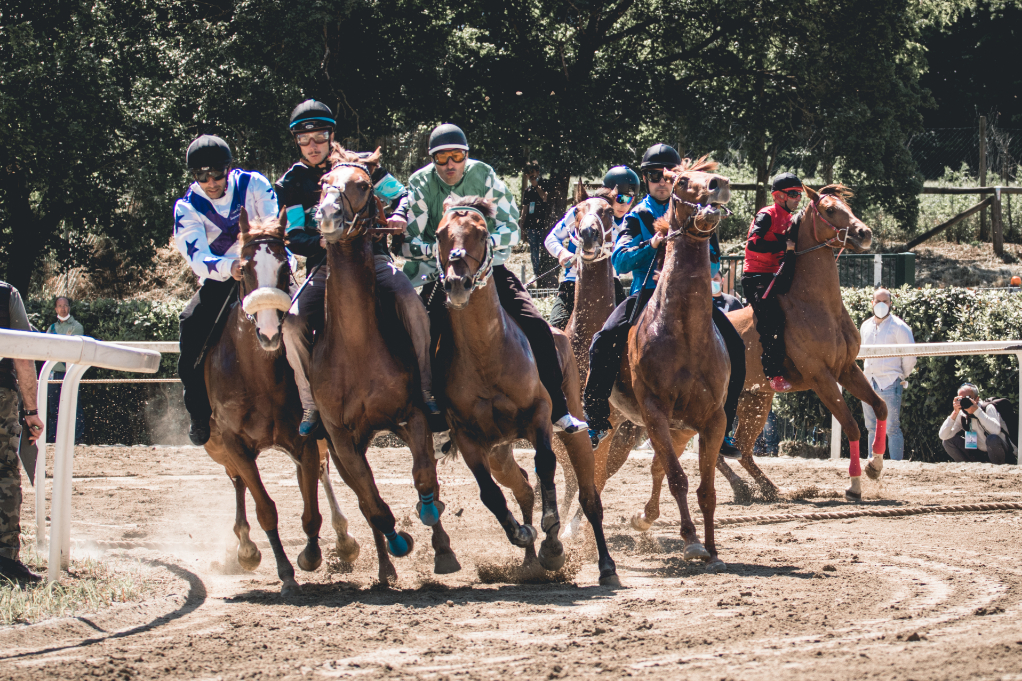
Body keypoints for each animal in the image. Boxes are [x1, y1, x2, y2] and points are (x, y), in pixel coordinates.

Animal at [202, 209, 359, 593]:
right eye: (244, 268)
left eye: (285, 268)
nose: (271, 332)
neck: (260, 377)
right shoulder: (234, 443)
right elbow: (265, 508)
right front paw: (283, 570)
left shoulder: (304, 440)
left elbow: (311, 511)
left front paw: (310, 556)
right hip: (218, 447)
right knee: (237, 482)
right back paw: (245, 546)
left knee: (321, 472)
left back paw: (344, 539)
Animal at [308, 150, 457, 584]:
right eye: (323, 181)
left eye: (362, 184)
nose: (327, 213)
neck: (356, 347)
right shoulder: (341, 438)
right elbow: (370, 500)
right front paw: (397, 541)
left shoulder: (413, 416)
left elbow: (425, 477)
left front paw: (440, 545)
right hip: (344, 445)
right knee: (363, 498)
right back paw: (385, 567)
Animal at [435, 196, 617, 584]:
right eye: (441, 234)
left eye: (482, 232)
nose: (457, 282)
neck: (487, 354)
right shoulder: (468, 438)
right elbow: (491, 493)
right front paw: (526, 536)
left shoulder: (540, 418)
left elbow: (547, 466)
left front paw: (554, 540)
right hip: (499, 452)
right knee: (521, 488)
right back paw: (531, 561)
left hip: (576, 430)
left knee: (588, 494)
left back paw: (603, 564)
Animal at [609, 157, 731, 568]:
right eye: (680, 181)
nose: (718, 184)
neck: (686, 336)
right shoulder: (655, 412)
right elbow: (679, 478)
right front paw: (691, 541)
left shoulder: (712, 420)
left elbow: (706, 489)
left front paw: (712, 550)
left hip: (650, 430)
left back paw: (642, 517)